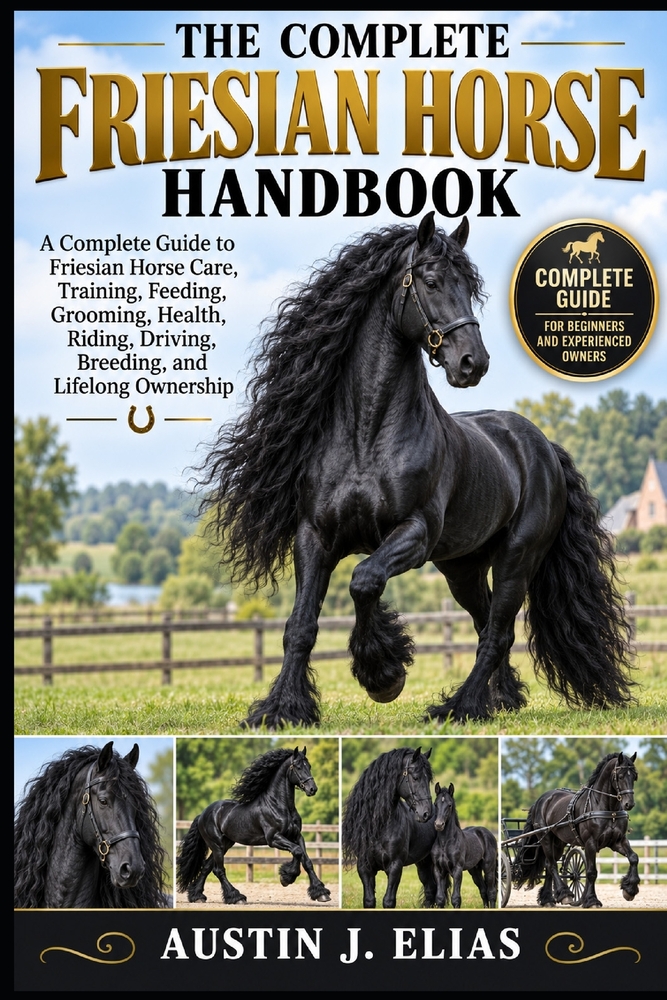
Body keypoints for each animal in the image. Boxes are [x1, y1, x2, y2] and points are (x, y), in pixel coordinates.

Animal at [176, 746, 331, 904]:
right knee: (218, 870)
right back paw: (236, 897)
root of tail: (202, 815)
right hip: (216, 844)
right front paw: (287, 877)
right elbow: (297, 851)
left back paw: (197, 896)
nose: (312, 789)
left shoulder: (296, 836)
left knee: (207, 867)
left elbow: (306, 860)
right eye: (298, 767)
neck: (278, 805)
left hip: (225, 844)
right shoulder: (273, 838)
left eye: (309, 766)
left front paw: (321, 893)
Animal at [196, 211, 633, 728]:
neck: (367, 437)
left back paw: (460, 706)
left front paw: (383, 675)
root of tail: (543, 446)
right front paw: (281, 709)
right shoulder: (314, 535)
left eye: (470, 287)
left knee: (497, 631)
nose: (473, 363)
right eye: (431, 281)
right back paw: (498, 700)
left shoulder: (415, 533)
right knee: (487, 623)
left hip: (517, 557)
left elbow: (364, 580)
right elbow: (300, 625)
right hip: (463, 568)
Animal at [342, 746, 436, 908]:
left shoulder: (395, 866)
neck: (379, 827)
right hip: (423, 863)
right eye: (415, 777)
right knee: (430, 890)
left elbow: (388, 901)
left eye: (429, 779)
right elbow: (369, 900)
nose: (426, 813)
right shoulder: (364, 867)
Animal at [513, 751, 640, 908]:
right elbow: (591, 872)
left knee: (549, 865)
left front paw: (629, 890)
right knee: (552, 865)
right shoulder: (591, 843)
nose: (629, 804)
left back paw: (548, 899)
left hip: (558, 842)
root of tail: (541, 800)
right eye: (620, 776)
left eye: (634, 776)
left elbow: (633, 858)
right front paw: (592, 900)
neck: (609, 810)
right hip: (546, 838)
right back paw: (564, 894)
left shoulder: (618, 841)